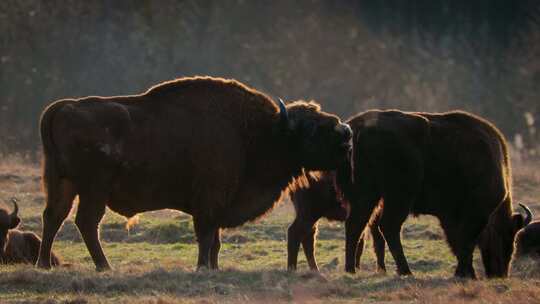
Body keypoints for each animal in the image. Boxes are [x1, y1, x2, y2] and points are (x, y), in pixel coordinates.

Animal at [35, 76, 352, 270]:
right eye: (312, 127)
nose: (346, 133)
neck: (259, 132)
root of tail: (64, 107)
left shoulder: (220, 205)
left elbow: (216, 242)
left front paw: (213, 267)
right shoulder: (210, 203)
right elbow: (206, 237)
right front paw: (202, 267)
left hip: (63, 183)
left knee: (54, 217)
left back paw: (45, 264)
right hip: (94, 189)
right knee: (86, 222)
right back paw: (104, 266)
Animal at [338, 110, 532, 280]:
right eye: (505, 237)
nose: (500, 274)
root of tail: (358, 128)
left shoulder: (449, 217)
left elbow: (458, 242)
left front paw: (465, 271)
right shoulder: (474, 215)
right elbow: (466, 242)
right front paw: (466, 273)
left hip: (367, 196)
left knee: (356, 225)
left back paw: (351, 269)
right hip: (399, 197)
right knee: (388, 227)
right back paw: (405, 271)